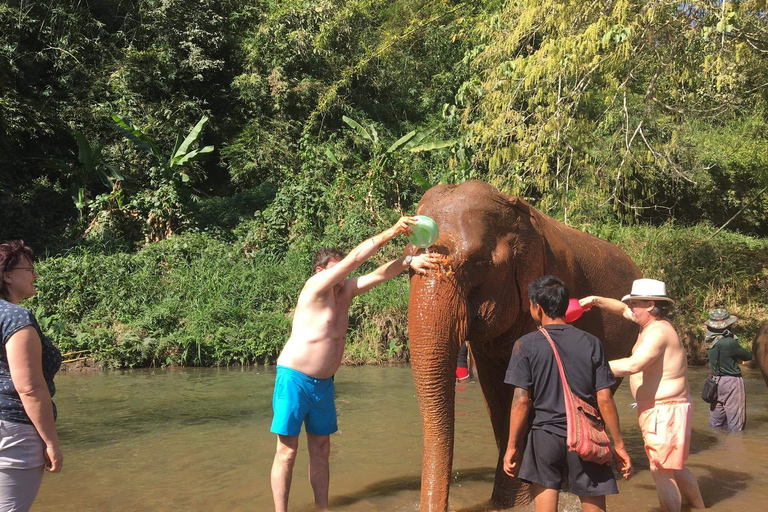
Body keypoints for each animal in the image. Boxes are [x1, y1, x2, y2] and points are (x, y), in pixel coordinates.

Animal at [408, 182, 640, 510]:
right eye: (406, 264)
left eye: (478, 263)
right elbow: (497, 392)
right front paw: (506, 503)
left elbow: (522, 393)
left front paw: (512, 503)